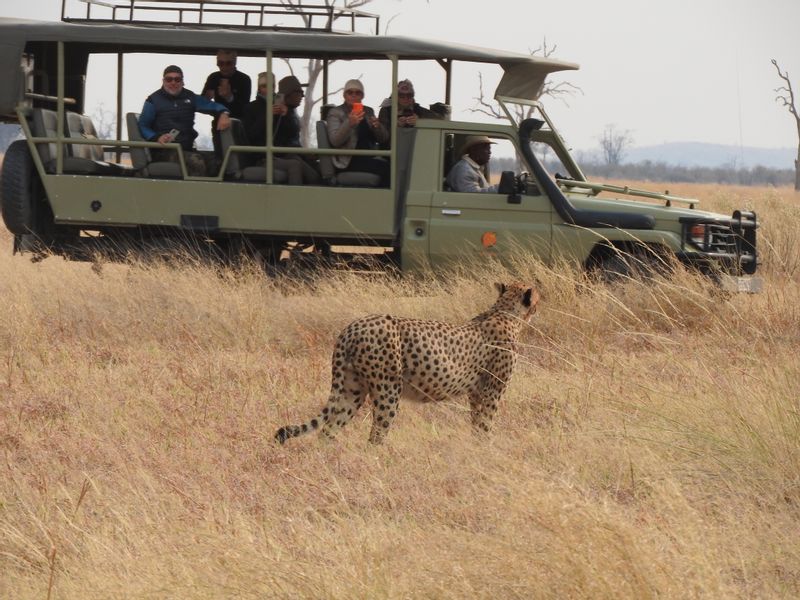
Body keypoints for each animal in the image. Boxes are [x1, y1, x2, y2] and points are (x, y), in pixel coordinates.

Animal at [272, 282, 540, 446]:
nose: (539, 301)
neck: (505, 312)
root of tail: (353, 326)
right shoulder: (492, 391)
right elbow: (486, 423)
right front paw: (486, 448)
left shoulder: (475, 393)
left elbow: (476, 423)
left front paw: (477, 447)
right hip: (388, 390)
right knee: (375, 435)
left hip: (352, 389)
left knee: (328, 430)